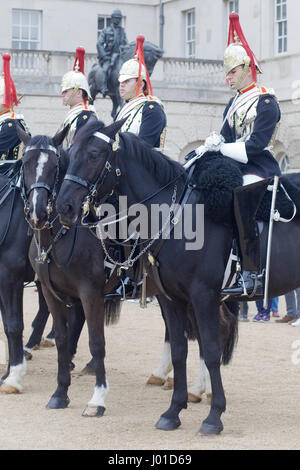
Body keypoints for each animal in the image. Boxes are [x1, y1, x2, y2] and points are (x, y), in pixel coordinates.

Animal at [55, 119, 300, 436]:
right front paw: (173, 411)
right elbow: (180, 350)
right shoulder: (171, 298)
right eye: (69, 154)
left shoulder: (203, 295)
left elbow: (210, 350)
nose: (64, 207)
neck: (175, 216)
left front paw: (214, 416)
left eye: (94, 154)